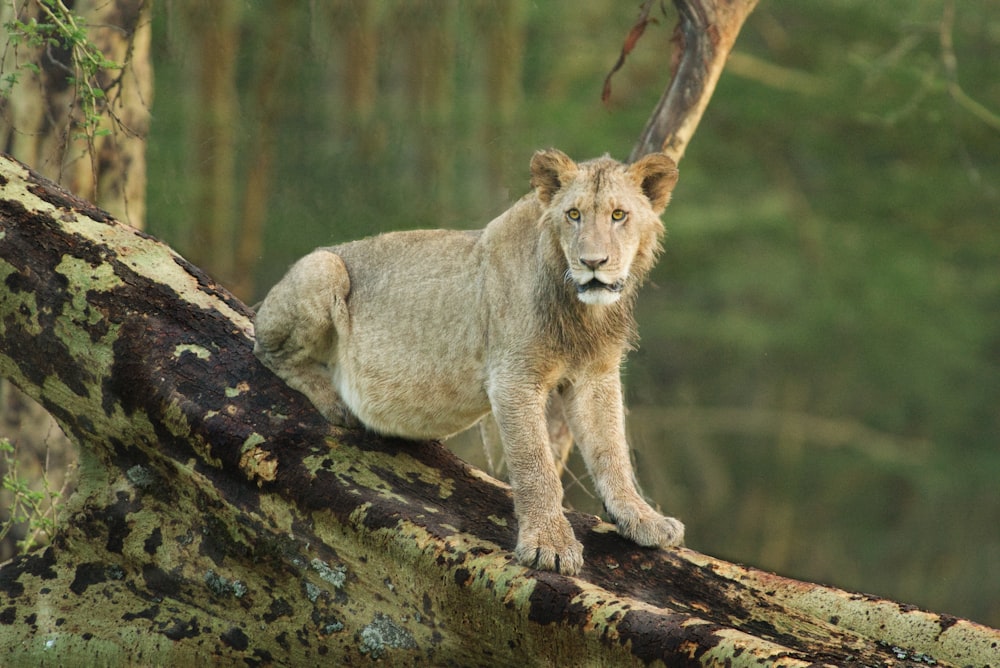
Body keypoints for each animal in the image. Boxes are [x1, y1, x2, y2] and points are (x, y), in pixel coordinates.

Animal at [254, 147, 684, 576]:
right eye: (573, 214)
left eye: (619, 215)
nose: (592, 262)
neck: (583, 311)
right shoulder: (513, 378)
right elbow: (535, 465)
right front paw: (549, 544)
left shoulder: (595, 375)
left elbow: (611, 451)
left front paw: (642, 520)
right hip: (324, 268)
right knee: (266, 349)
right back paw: (335, 401)